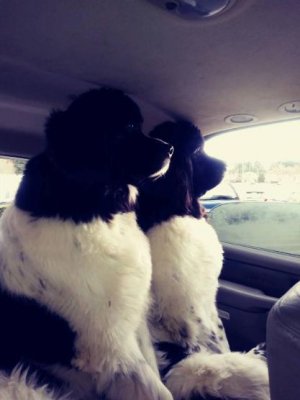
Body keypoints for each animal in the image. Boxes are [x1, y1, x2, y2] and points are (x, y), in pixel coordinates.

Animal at [0, 88, 173, 400]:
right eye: (129, 127)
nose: (171, 149)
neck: (90, 207)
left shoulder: (133, 318)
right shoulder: (112, 343)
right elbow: (157, 389)